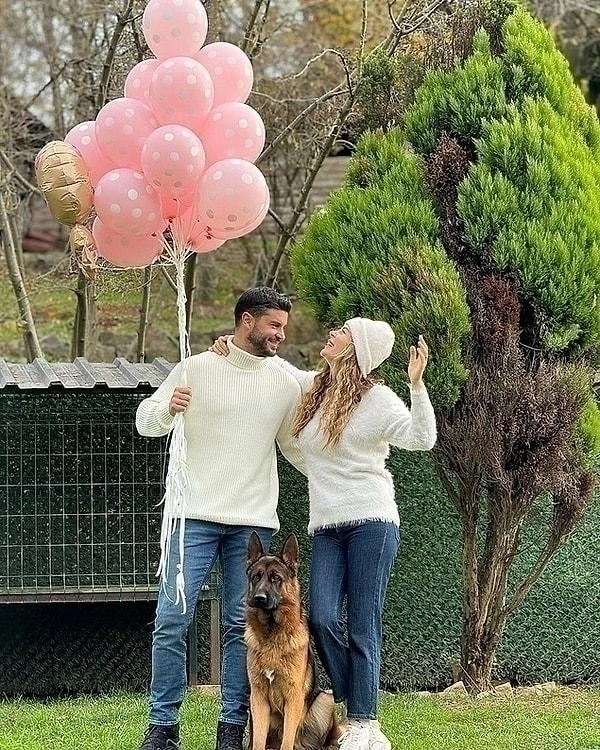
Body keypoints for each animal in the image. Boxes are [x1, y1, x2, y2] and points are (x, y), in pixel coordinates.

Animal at [244, 536, 342, 750]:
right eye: (256, 577)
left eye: (276, 578)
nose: (259, 598)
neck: (272, 635)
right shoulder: (258, 699)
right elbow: (258, 741)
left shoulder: (293, 698)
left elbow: (287, 741)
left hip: (325, 700)